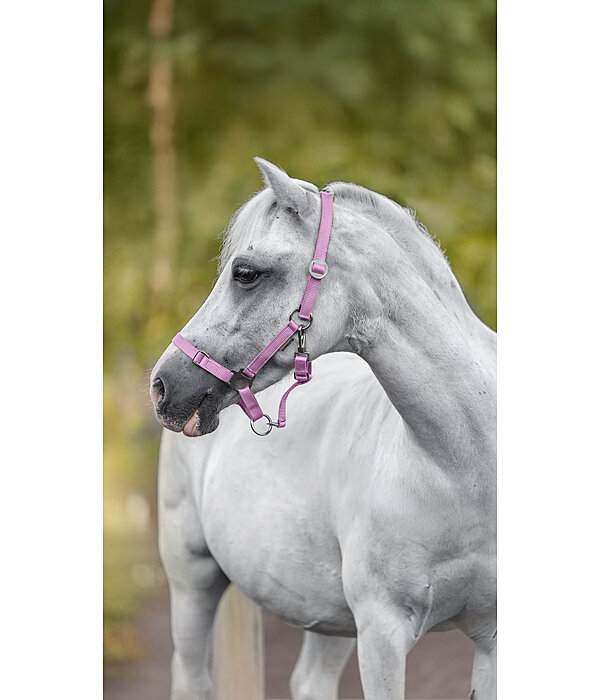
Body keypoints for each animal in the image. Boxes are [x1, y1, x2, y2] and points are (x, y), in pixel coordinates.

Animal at [150, 158, 497, 699]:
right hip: (193, 582)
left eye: (245, 273)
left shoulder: (490, 640)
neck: (464, 472)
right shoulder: (382, 631)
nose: (163, 386)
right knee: (190, 677)